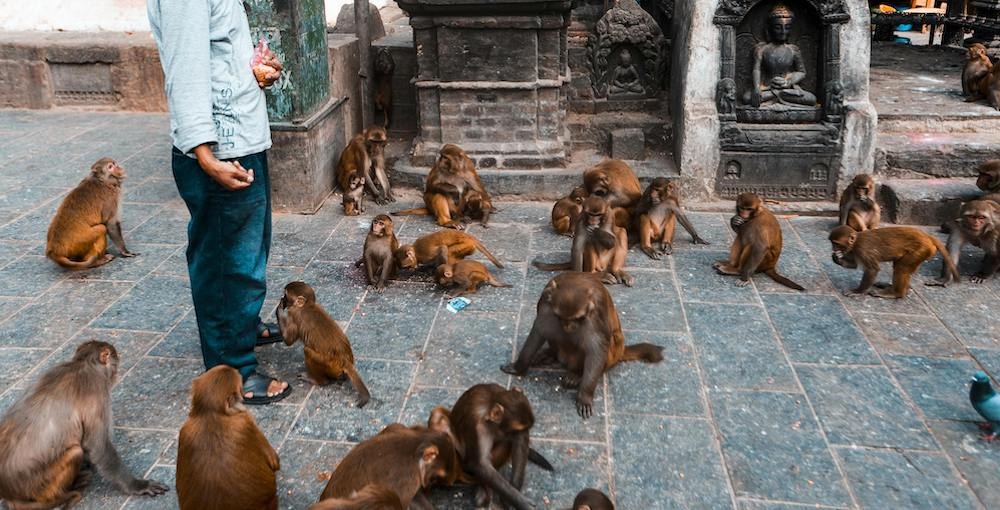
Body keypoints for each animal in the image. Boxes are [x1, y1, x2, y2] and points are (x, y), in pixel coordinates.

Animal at [0, 341, 168, 508]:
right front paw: (137, 485)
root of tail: (10, 496)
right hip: (41, 487)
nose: (116, 371)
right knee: (76, 451)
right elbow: (98, 446)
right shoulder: (98, 393)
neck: (84, 364)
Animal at [317, 424, 458, 509]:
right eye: (437, 477)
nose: (450, 483)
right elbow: (403, 501)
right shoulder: (408, 480)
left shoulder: (395, 426)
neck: (416, 443)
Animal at [503, 272, 664, 419]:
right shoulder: (546, 305)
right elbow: (539, 331)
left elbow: (596, 348)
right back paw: (550, 354)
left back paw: (576, 374)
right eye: (560, 316)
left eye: (578, 318)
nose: (568, 326)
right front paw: (518, 367)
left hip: (612, 353)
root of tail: (620, 352)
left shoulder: (595, 314)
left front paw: (585, 396)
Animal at [829, 225, 961, 298]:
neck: (856, 242)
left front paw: (858, 291)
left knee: (901, 268)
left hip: (921, 250)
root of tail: (927, 236)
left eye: (836, 243)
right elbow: (854, 265)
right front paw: (836, 258)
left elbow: (872, 269)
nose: (833, 249)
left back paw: (896, 293)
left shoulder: (862, 249)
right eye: (832, 243)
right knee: (900, 266)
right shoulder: (853, 251)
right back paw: (893, 288)